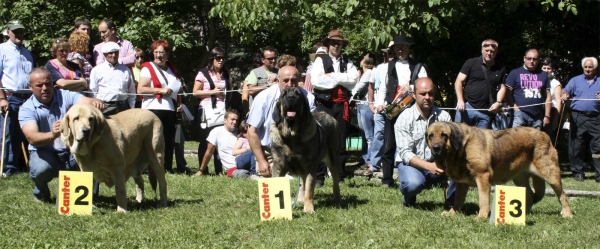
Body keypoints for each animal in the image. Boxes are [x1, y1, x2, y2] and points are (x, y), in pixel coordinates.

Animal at [426, 121, 572, 219]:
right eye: (431, 136)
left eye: (444, 135)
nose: (436, 148)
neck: (461, 149)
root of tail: (544, 134)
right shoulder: (461, 183)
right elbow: (457, 201)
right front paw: (452, 213)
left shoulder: (482, 177)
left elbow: (483, 200)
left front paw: (481, 216)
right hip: (519, 178)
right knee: (530, 194)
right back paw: (522, 214)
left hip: (550, 175)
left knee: (562, 194)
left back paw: (567, 214)